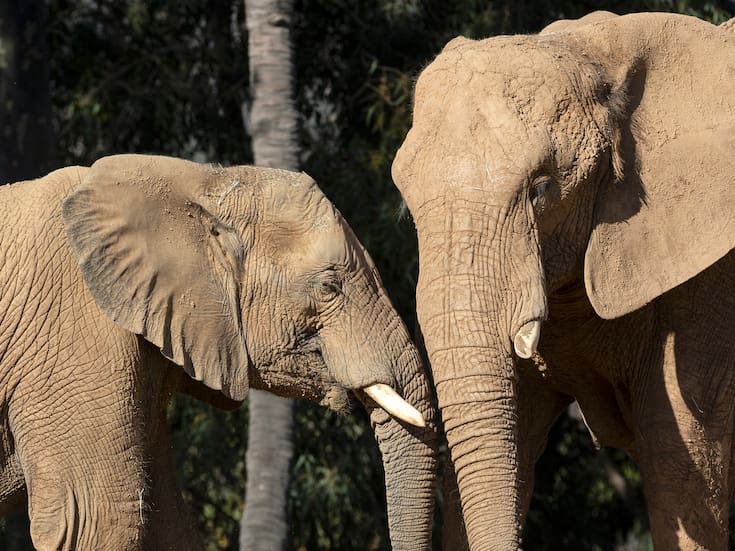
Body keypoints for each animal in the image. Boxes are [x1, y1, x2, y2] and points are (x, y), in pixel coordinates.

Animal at [392, 11, 735, 550]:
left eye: (542, 189)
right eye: (405, 199)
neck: (596, 52)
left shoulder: (710, 275)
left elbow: (678, 451)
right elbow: (514, 435)